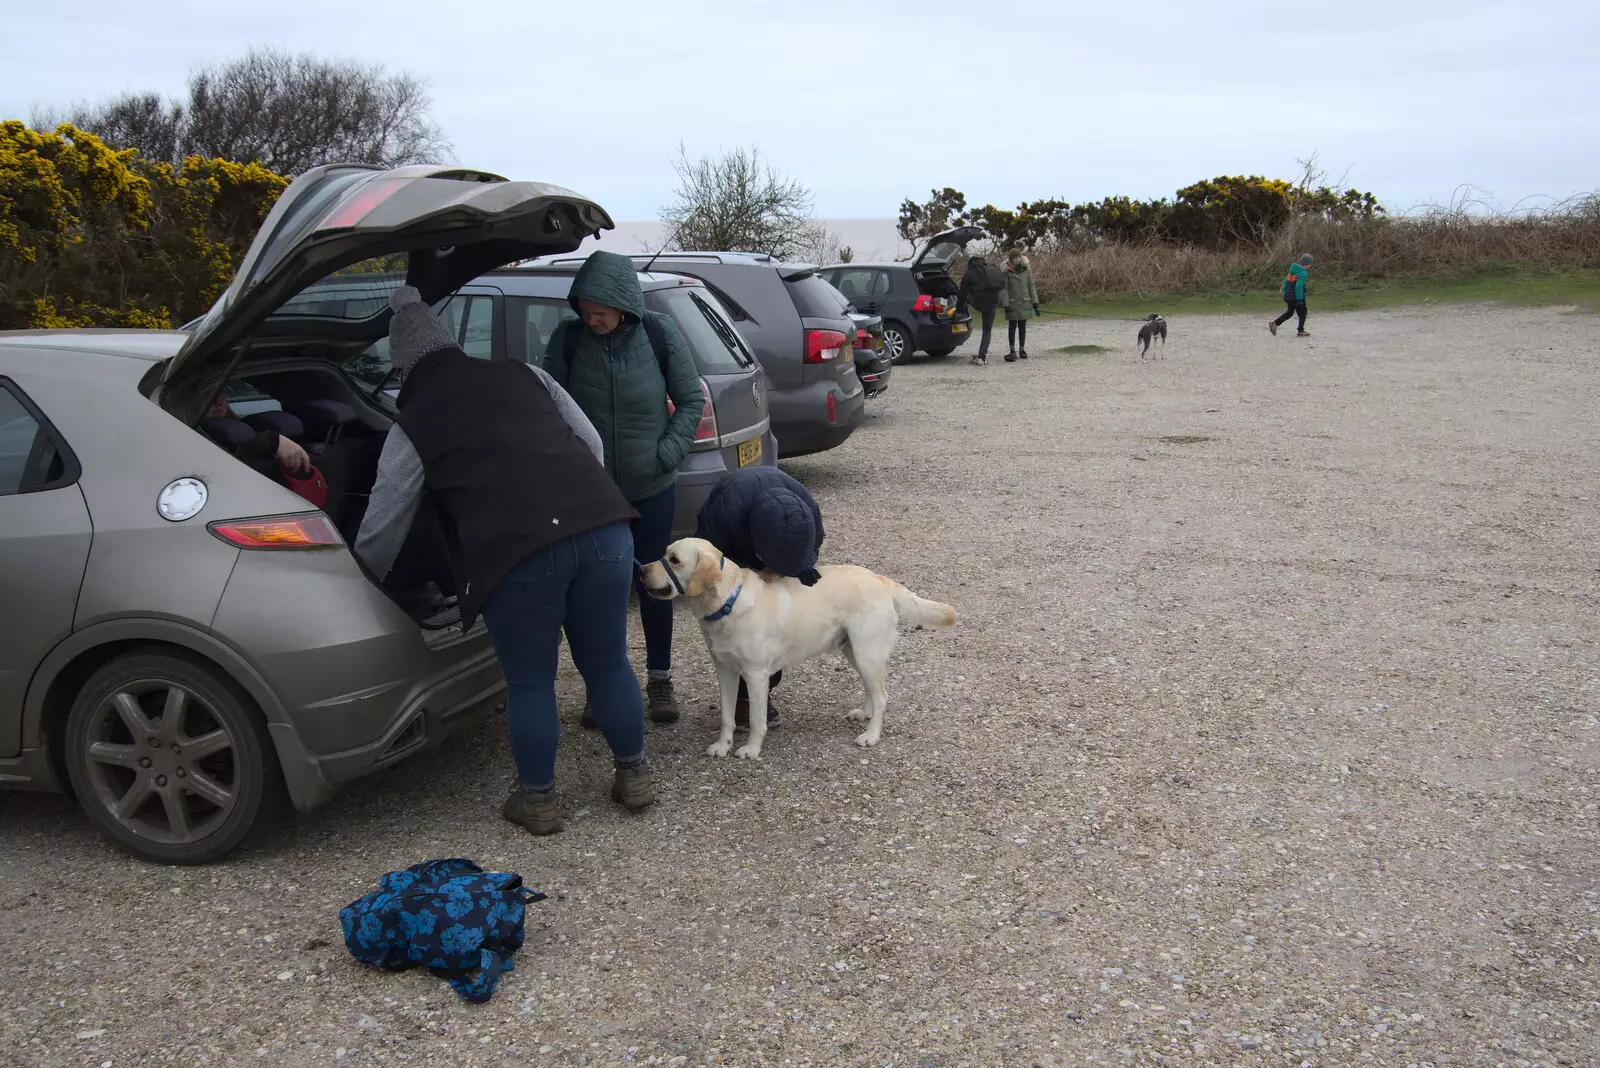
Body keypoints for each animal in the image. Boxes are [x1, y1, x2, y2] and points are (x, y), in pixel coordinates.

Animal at [636, 543, 953, 757]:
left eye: (674, 560)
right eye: (664, 553)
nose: (640, 570)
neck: (727, 603)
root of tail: (881, 579)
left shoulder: (755, 675)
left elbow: (756, 720)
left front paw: (751, 749)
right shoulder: (725, 672)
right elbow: (727, 717)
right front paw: (722, 746)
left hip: (866, 651)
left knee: (882, 696)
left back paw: (871, 735)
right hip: (855, 651)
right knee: (871, 690)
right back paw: (863, 714)